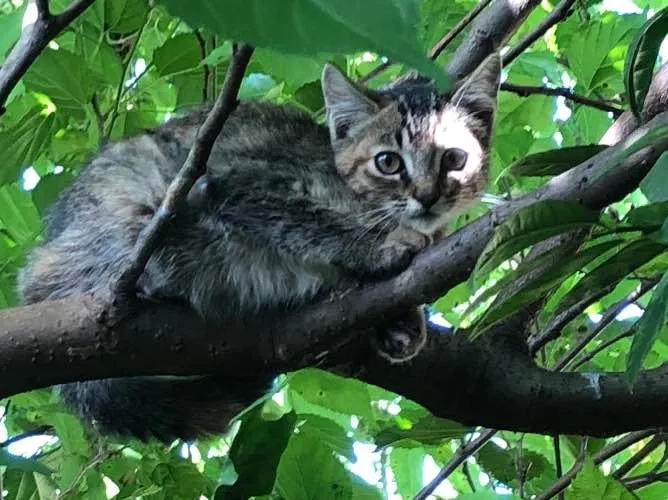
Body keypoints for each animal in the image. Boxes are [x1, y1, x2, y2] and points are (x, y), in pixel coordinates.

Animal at [18, 53, 498, 442]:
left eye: (454, 159)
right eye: (388, 162)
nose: (427, 195)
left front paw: (401, 323)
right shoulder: (237, 182)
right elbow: (308, 219)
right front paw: (379, 248)